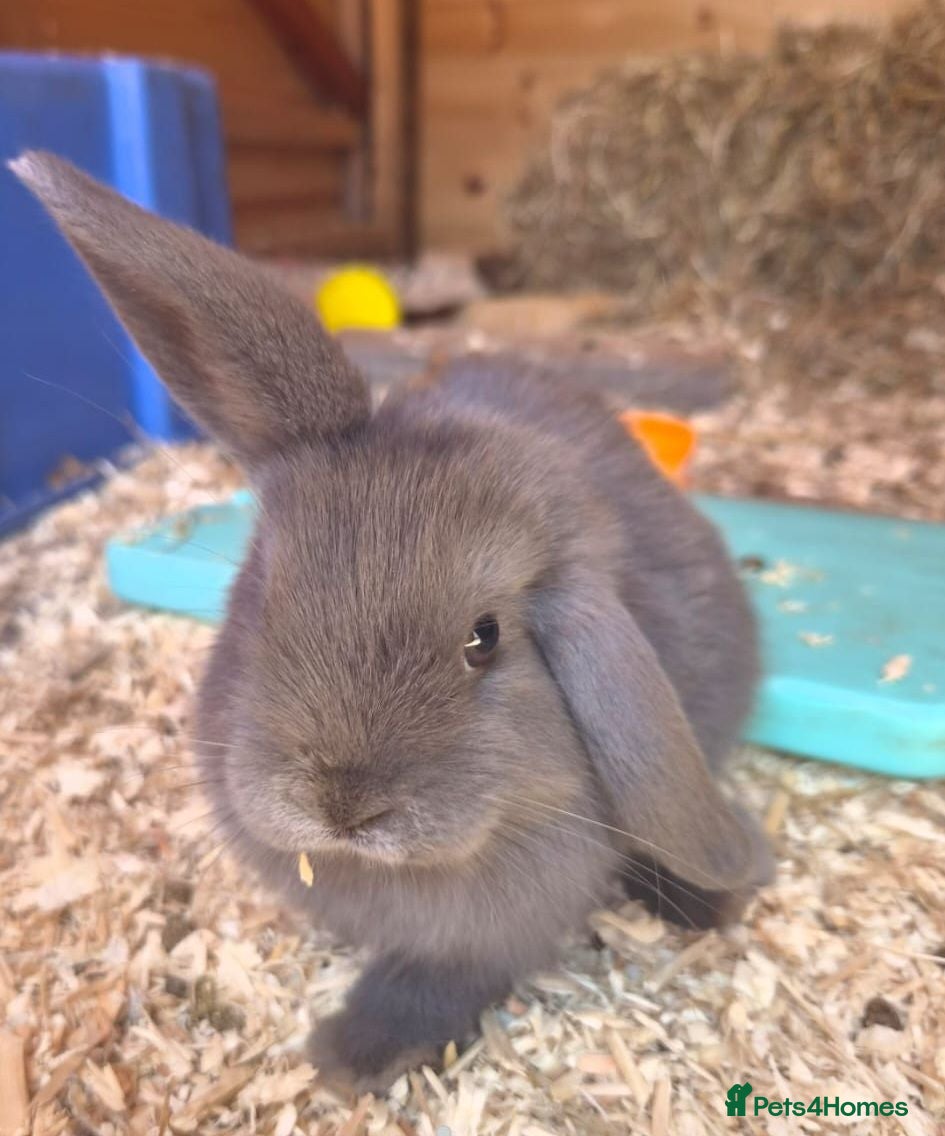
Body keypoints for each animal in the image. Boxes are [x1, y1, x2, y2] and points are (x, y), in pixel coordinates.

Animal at [12, 151, 773, 1094]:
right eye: (264, 593)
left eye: (484, 638)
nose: (342, 804)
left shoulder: (491, 931)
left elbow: (437, 981)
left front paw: (352, 1055)